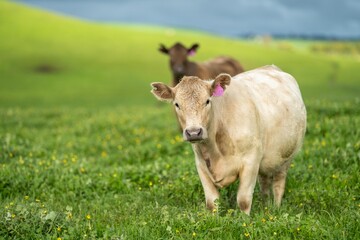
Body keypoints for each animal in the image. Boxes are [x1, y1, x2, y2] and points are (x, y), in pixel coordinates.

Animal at [150, 64, 306, 215]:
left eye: (207, 101)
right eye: (177, 104)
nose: (194, 132)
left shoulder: (251, 160)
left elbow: (243, 200)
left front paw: (244, 221)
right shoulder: (201, 164)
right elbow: (212, 202)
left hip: (286, 157)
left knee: (279, 184)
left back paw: (276, 208)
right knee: (264, 182)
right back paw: (265, 207)